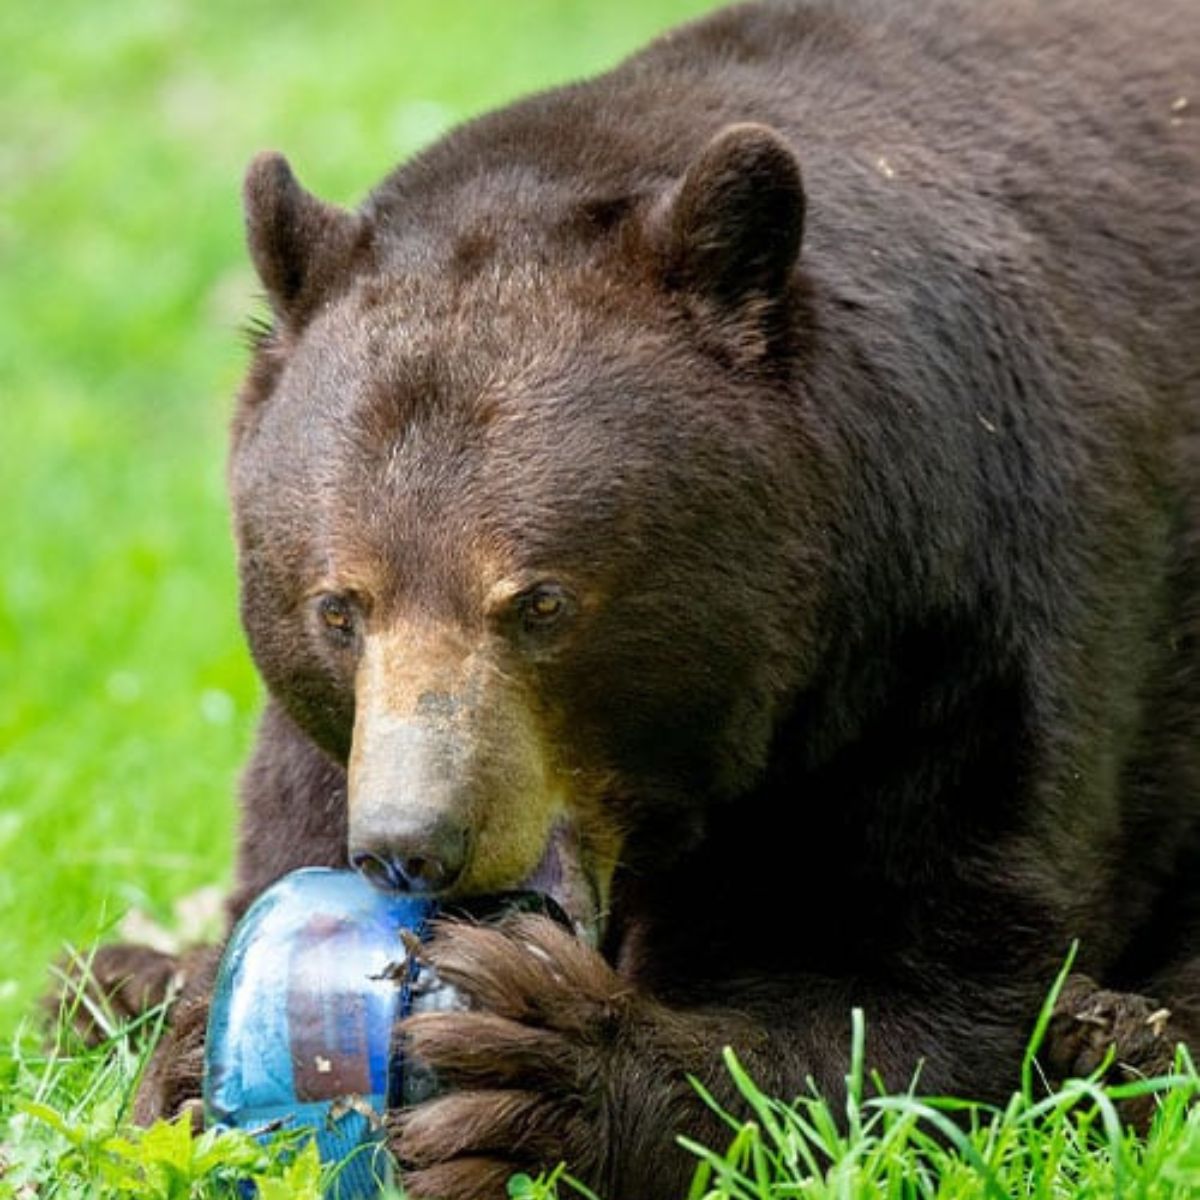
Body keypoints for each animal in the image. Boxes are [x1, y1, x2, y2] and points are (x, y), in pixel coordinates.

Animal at [72, 0, 1199, 1197]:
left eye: (540, 603)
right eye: (339, 608)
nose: (411, 844)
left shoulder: (968, 629)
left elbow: (924, 986)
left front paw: (535, 1074)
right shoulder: (325, 740)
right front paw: (184, 1033)